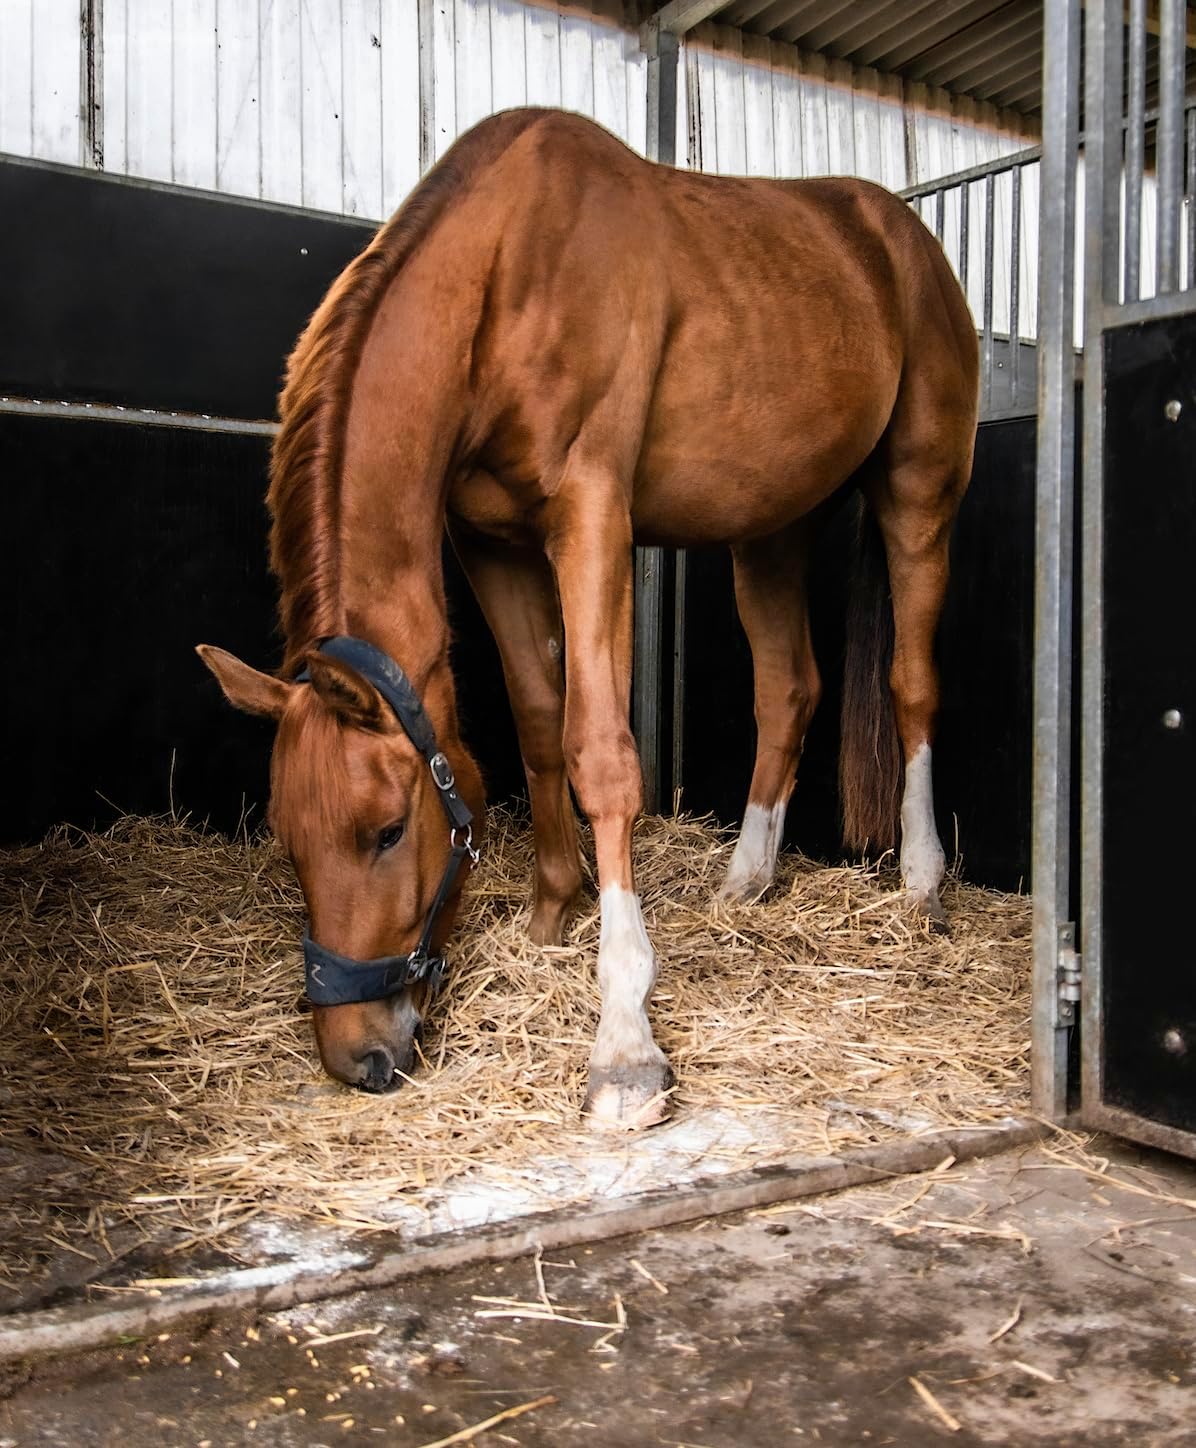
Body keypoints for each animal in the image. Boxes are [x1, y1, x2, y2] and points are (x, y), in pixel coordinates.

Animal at [198, 107, 979, 1130]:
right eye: (289, 843)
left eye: (388, 831)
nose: (359, 1055)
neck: (506, 274)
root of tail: (901, 236)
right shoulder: (489, 542)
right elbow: (537, 721)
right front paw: (546, 918)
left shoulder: (592, 516)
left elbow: (601, 754)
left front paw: (624, 1043)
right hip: (770, 527)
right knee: (789, 691)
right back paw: (746, 880)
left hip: (918, 492)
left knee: (912, 683)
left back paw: (923, 884)